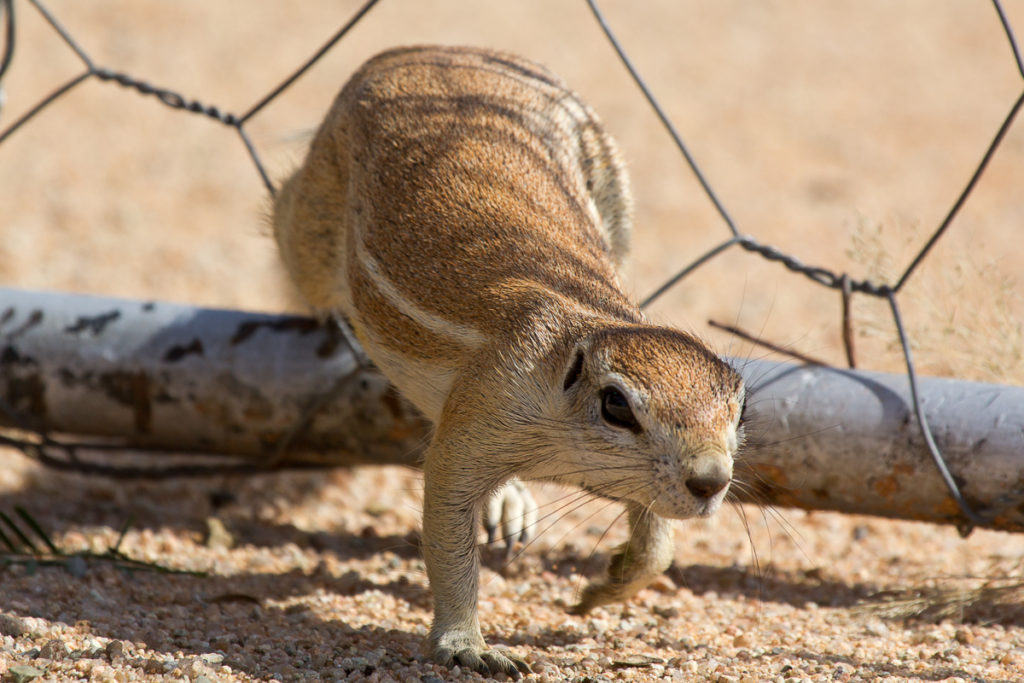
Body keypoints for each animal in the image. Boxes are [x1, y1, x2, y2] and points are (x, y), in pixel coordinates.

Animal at [272, 46, 745, 679]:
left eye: (739, 409)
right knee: (289, 218)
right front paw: (465, 645)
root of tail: (422, 50)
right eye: (617, 406)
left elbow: (657, 543)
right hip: (313, 231)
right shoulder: (486, 410)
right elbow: (449, 536)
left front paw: (607, 586)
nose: (712, 480)